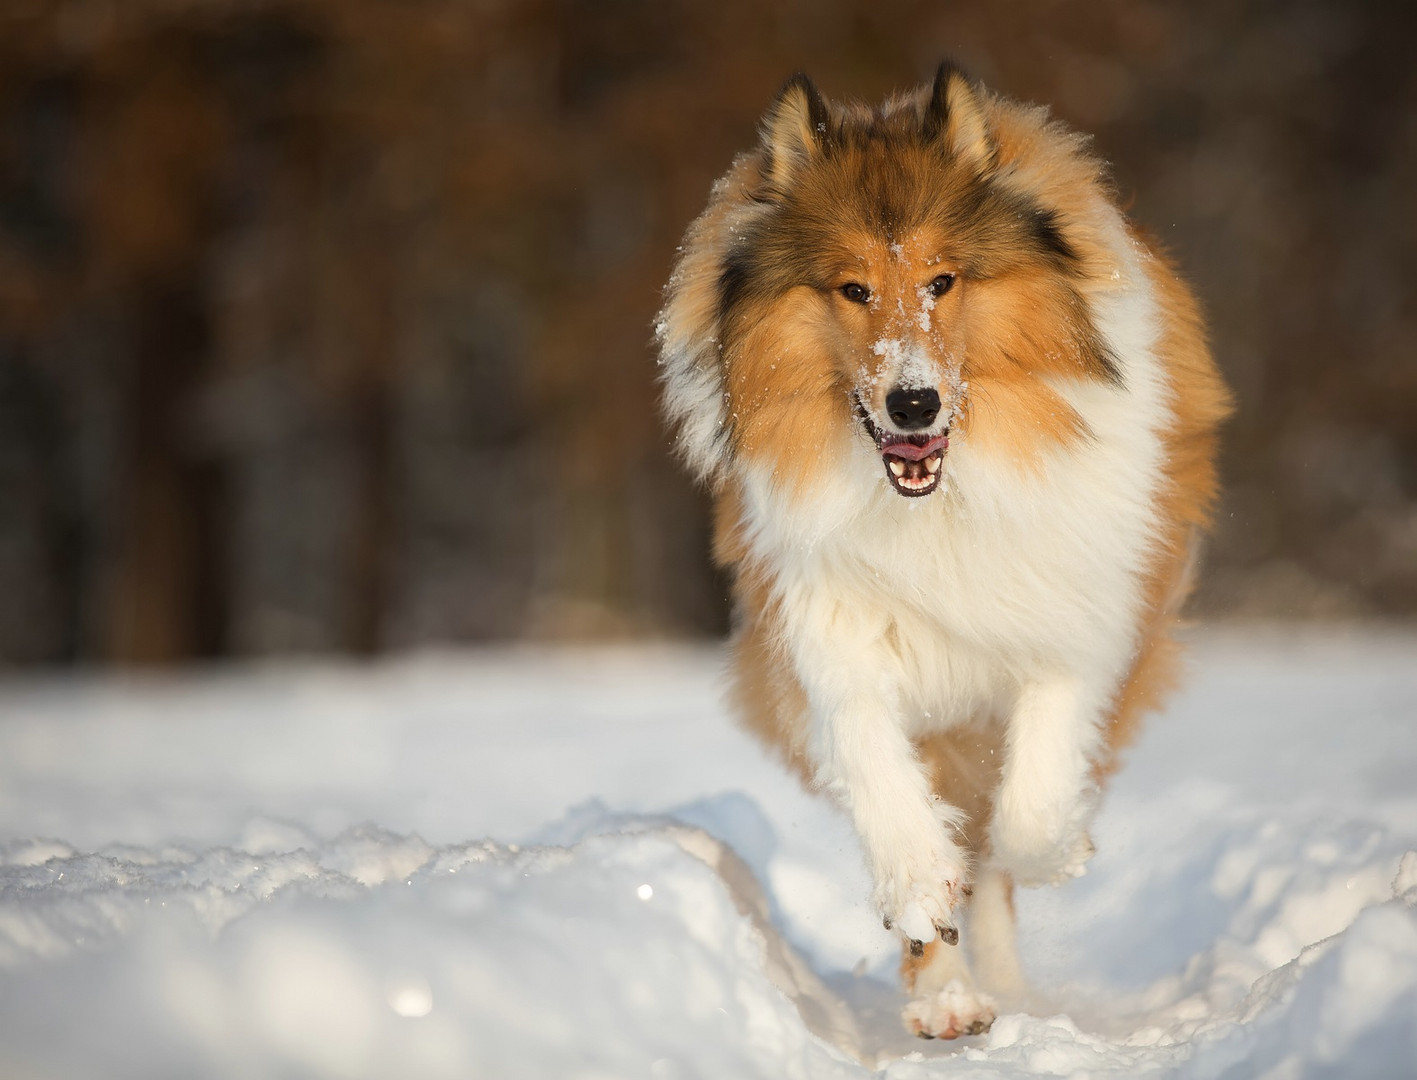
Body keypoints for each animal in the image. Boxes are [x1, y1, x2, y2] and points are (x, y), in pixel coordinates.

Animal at [651, 65, 1229, 1037]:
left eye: (943, 280)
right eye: (849, 289)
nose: (912, 404)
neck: (939, 499)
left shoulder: (1078, 611)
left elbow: (1027, 807)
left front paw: (1057, 849)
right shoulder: (820, 618)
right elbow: (875, 763)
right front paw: (920, 890)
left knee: (994, 841)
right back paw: (950, 995)